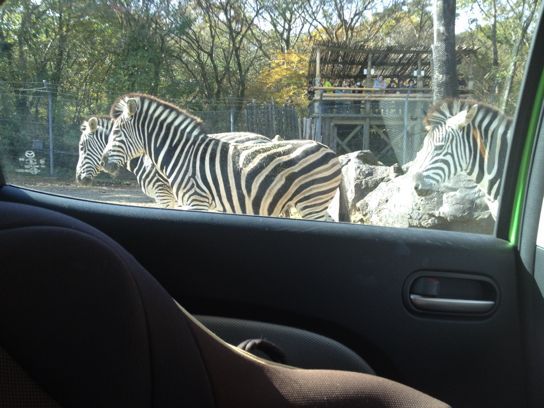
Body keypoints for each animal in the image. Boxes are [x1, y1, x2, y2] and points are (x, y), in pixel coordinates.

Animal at [101, 93, 340, 220]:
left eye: (117, 132)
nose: (103, 163)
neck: (180, 154)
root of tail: (329, 150)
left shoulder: (195, 200)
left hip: (312, 203)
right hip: (316, 204)